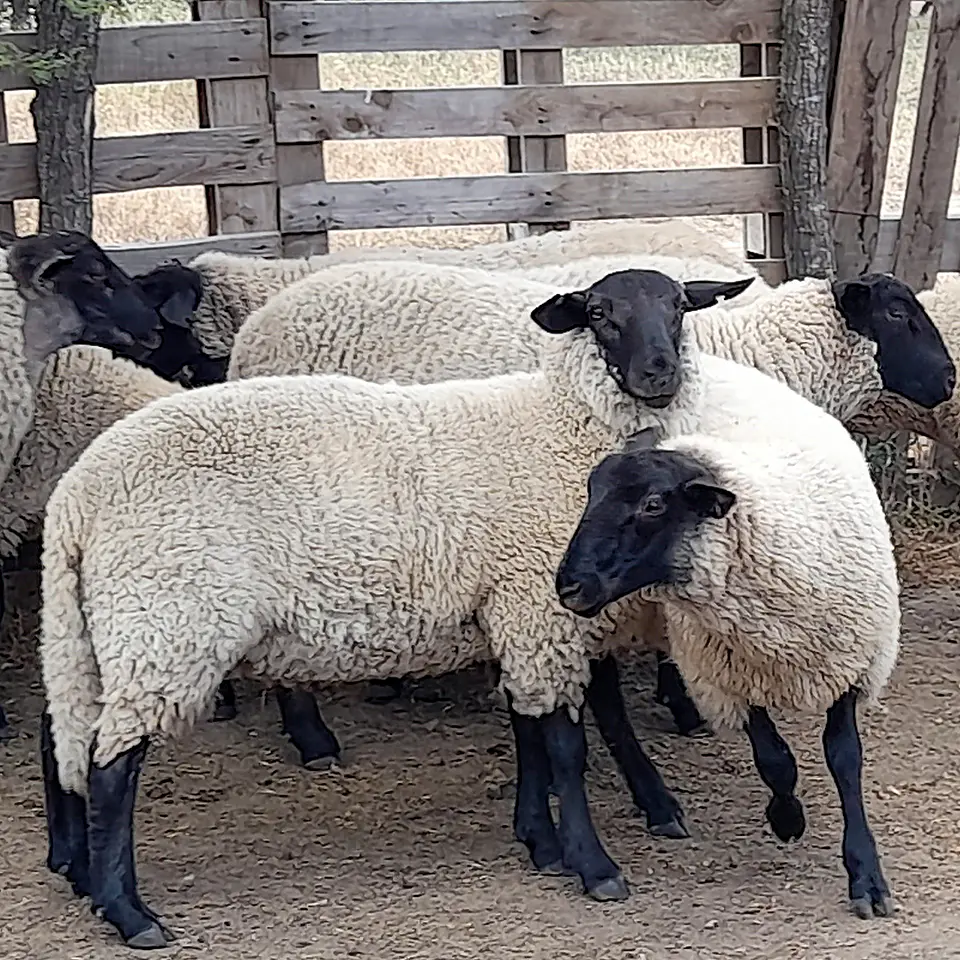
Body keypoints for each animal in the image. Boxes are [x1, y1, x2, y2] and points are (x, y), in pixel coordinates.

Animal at [37, 269, 757, 948]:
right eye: (601, 314)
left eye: (678, 306)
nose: (659, 373)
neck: (557, 424)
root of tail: (78, 494)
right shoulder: (537, 607)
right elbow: (563, 748)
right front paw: (593, 865)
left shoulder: (513, 612)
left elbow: (528, 735)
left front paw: (540, 842)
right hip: (164, 619)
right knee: (111, 767)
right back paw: (129, 913)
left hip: (100, 626)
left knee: (62, 733)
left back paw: (78, 870)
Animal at [556, 354, 902, 920]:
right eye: (590, 492)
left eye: (654, 505)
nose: (568, 585)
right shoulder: (726, 675)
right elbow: (775, 760)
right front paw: (788, 818)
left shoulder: (853, 664)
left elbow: (845, 759)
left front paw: (867, 877)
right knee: (606, 698)